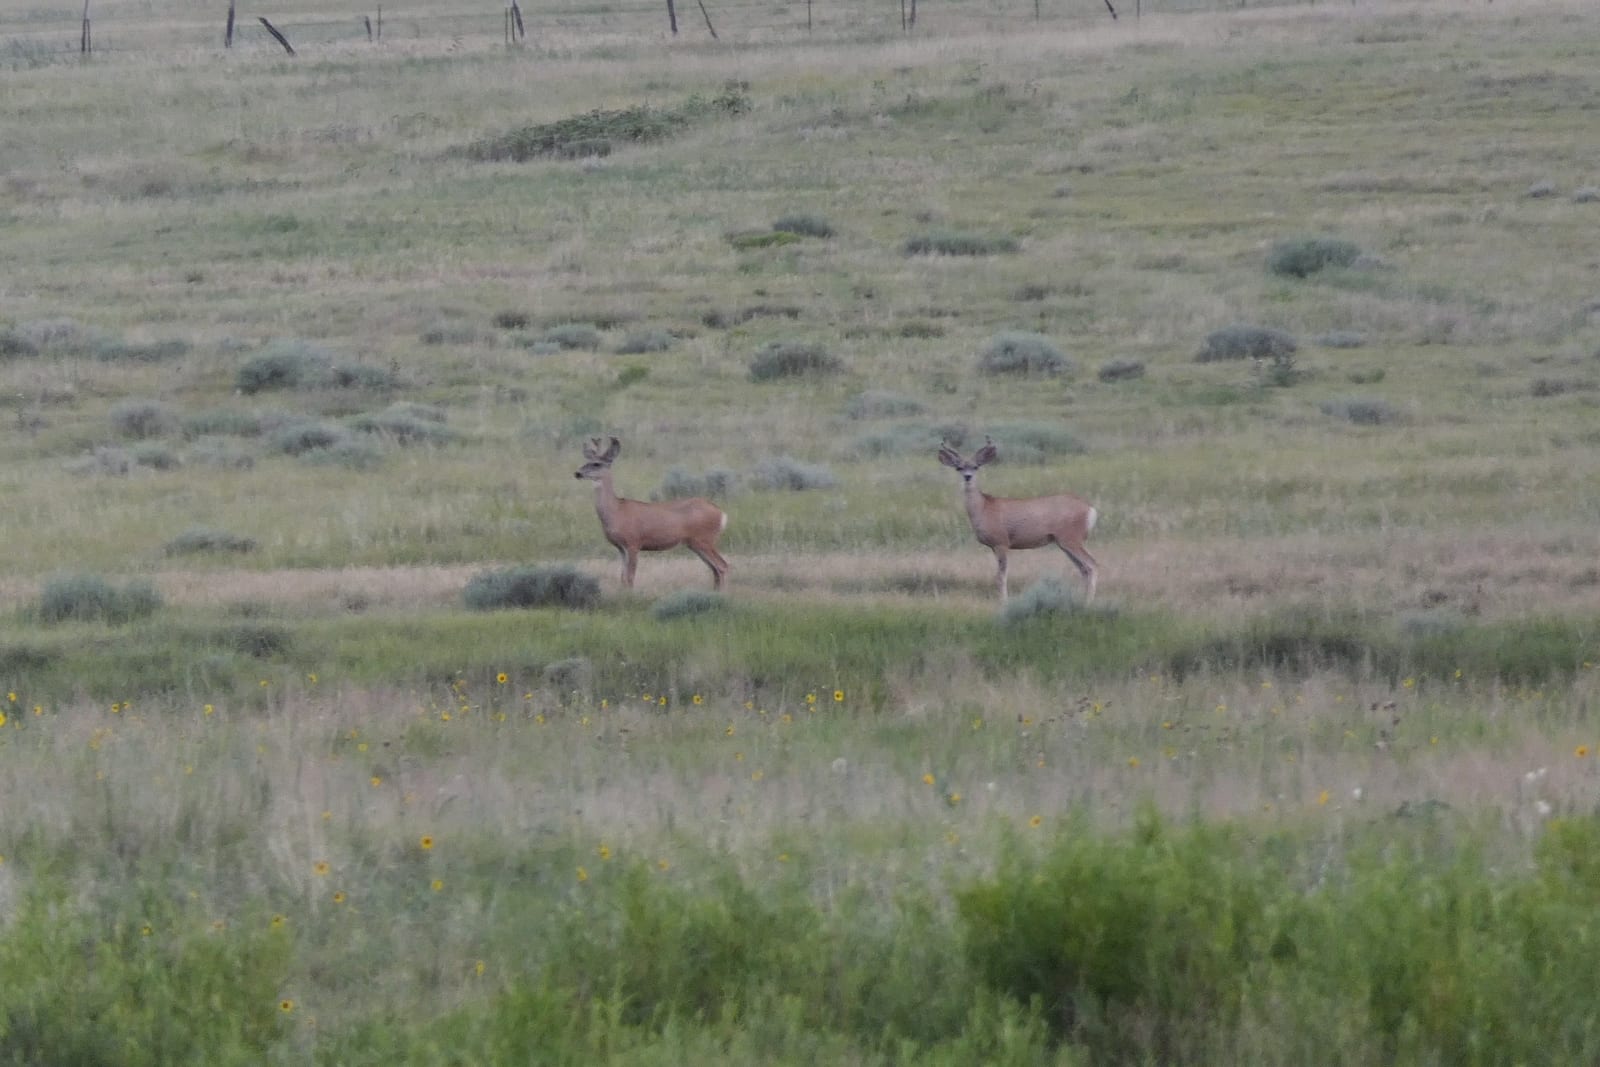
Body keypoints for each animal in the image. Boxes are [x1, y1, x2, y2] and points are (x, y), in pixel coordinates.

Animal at [574, 436, 729, 591]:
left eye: (597, 464)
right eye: (586, 461)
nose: (577, 473)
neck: (616, 511)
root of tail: (721, 513)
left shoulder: (633, 542)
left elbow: (630, 577)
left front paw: (630, 595)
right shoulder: (620, 547)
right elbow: (622, 577)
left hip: (704, 539)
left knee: (722, 566)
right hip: (695, 543)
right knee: (714, 569)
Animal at [938, 436, 1098, 604]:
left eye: (976, 467)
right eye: (959, 467)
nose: (967, 476)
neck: (984, 508)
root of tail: (1090, 509)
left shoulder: (1001, 542)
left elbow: (1001, 576)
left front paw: (1004, 601)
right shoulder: (994, 546)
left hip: (1071, 538)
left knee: (1092, 565)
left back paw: (1088, 602)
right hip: (1064, 542)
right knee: (1083, 569)